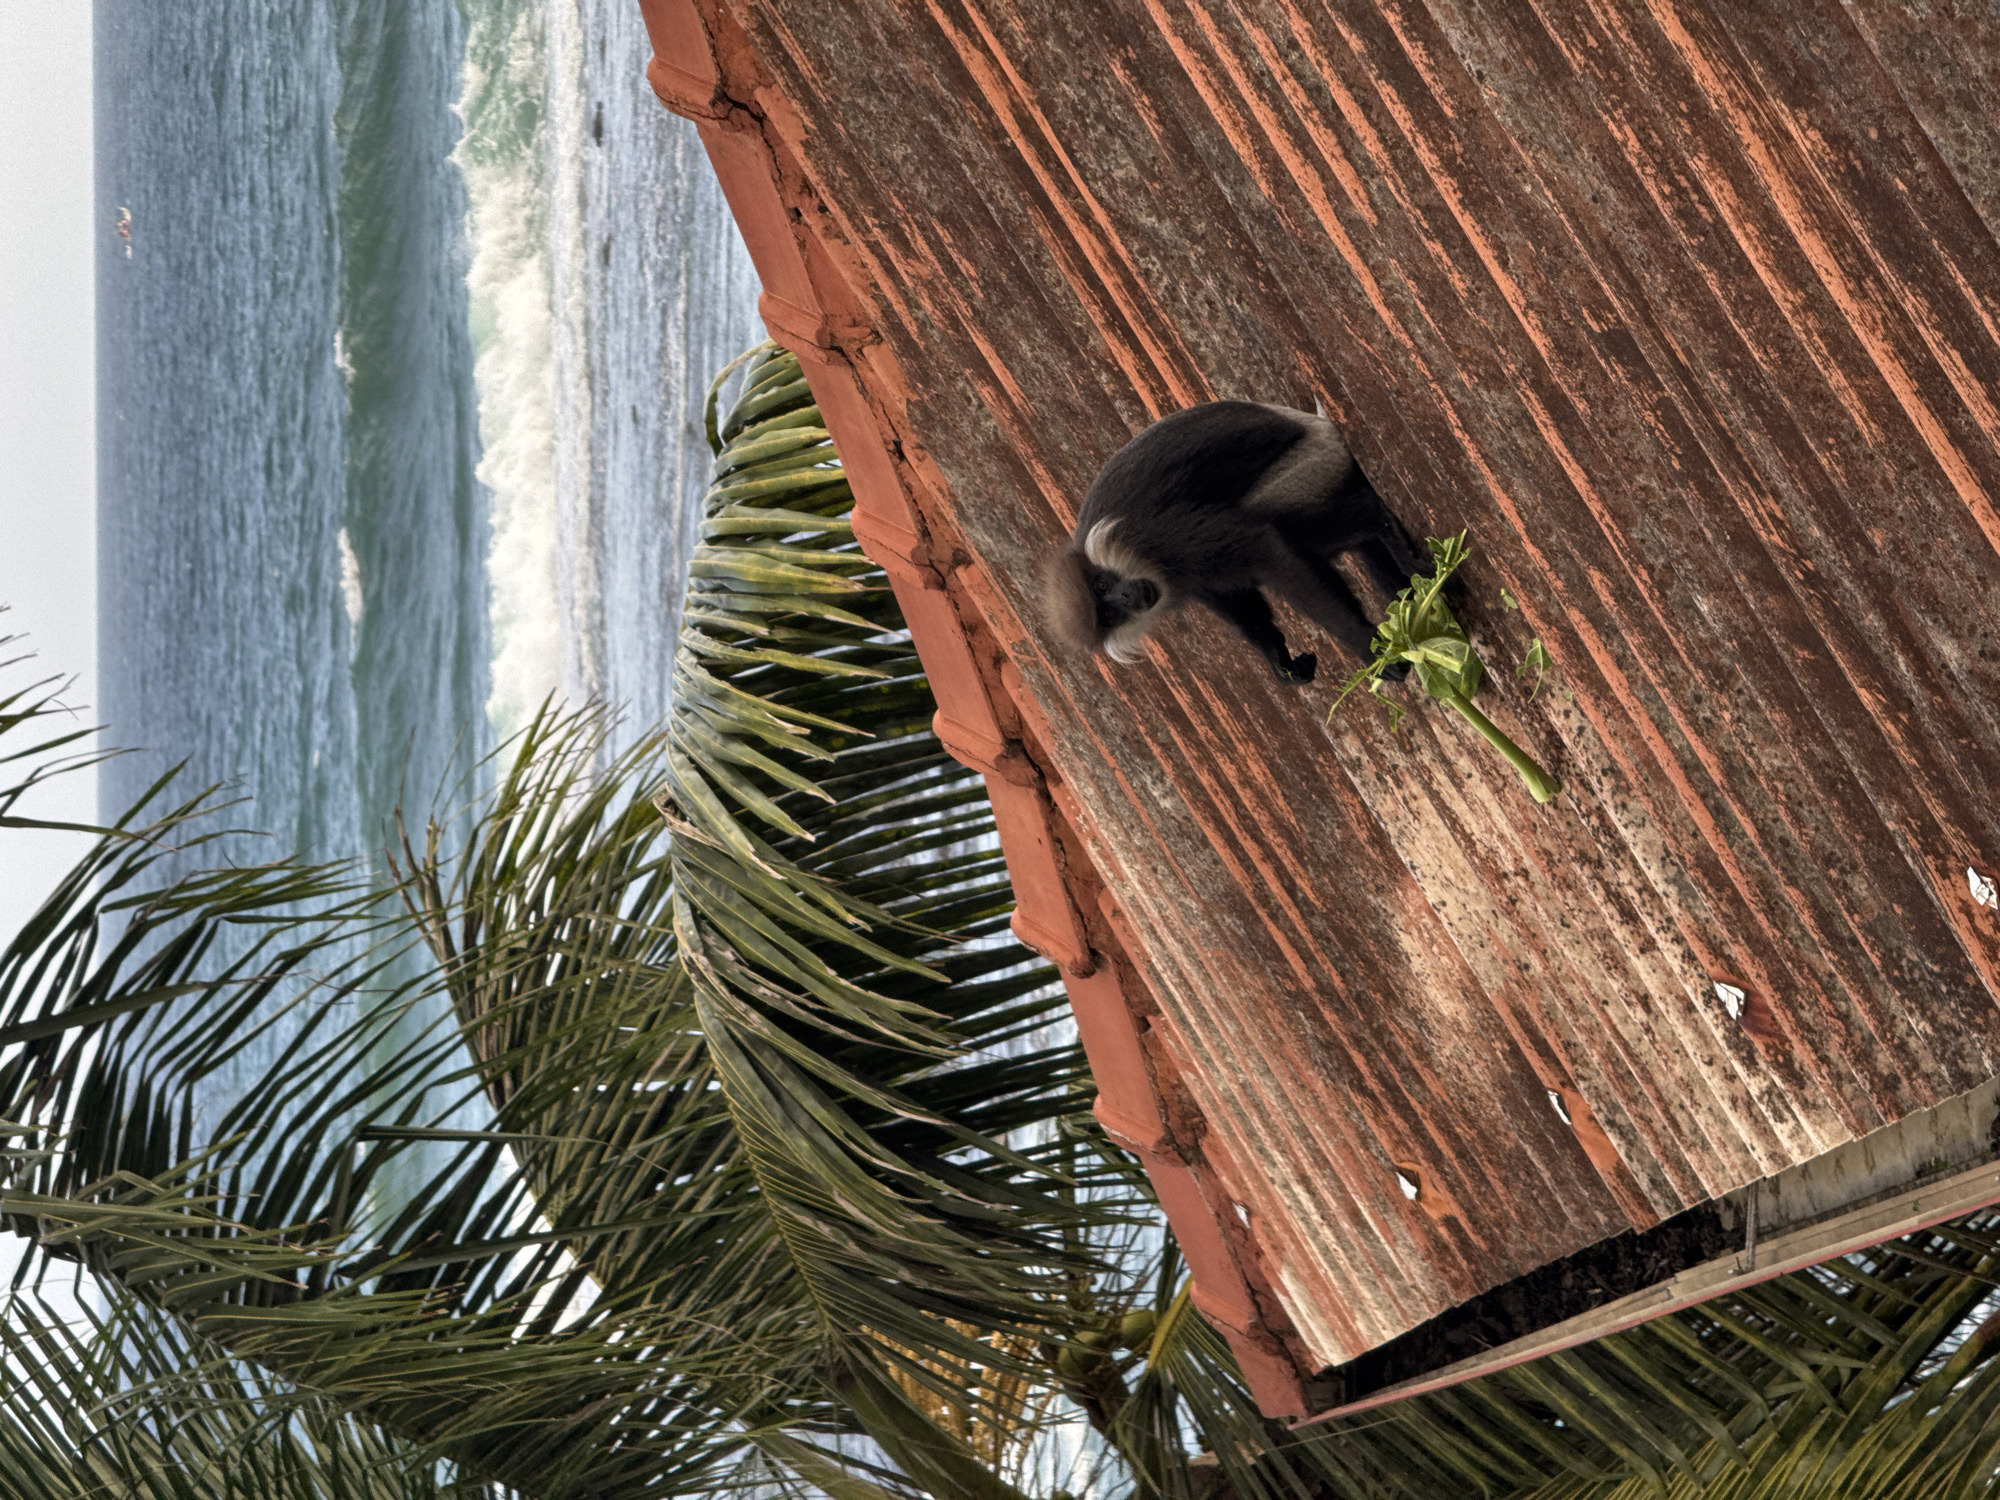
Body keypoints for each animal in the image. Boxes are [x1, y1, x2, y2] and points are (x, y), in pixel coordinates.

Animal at [1045, 401, 1431, 686]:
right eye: (1108, 612)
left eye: (1101, 584)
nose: (1125, 597)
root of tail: (1320, 424)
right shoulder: (1188, 580)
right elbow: (1238, 602)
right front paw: (1279, 662)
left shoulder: (1162, 533)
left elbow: (1268, 550)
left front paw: (1366, 647)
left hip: (1313, 465)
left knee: (1309, 519)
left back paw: (1383, 527)